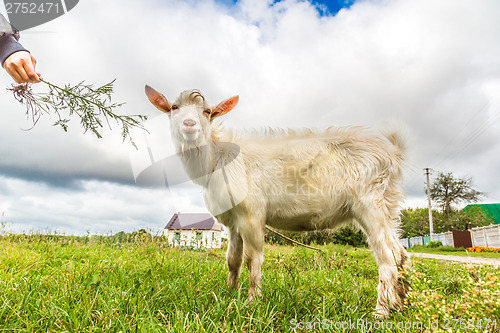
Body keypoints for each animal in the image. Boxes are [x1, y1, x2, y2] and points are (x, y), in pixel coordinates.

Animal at [146, 85, 410, 316]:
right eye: (174, 107)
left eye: (207, 111)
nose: (189, 124)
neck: (216, 160)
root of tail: (393, 152)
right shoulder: (233, 221)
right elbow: (233, 260)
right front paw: (228, 294)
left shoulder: (251, 213)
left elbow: (252, 259)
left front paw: (252, 302)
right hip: (386, 204)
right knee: (400, 253)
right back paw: (402, 304)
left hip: (371, 203)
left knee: (387, 258)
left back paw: (381, 312)